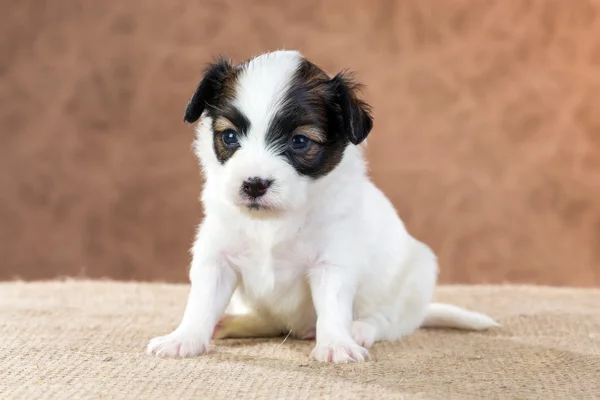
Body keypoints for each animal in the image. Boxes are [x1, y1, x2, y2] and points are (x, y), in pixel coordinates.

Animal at [146, 49, 496, 362]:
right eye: (229, 136)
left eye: (300, 141)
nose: (254, 184)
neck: (273, 222)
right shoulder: (216, 257)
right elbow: (201, 302)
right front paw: (184, 338)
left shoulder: (333, 263)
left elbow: (333, 307)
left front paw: (336, 344)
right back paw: (234, 323)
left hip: (416, 278)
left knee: (387, 321)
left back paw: (359, 330)